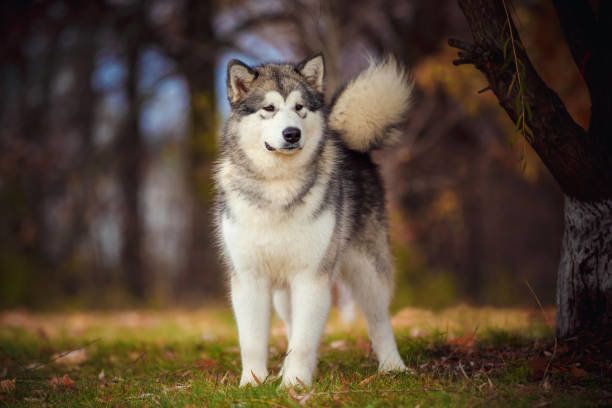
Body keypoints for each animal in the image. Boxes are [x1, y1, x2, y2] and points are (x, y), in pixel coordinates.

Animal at [214, 52, 412, 388]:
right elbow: (252, 340)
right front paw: (253, 383)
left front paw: (295, 385)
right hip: (284, 291)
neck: (278, 186)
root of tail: (347, 141)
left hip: (367, 271)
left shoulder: (311, 277)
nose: (292, 133)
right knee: (291, 322)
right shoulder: (249, 278)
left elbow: (305, 340)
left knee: (379, 320)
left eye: (299, 107)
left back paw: (393, 366)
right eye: (269, 108)